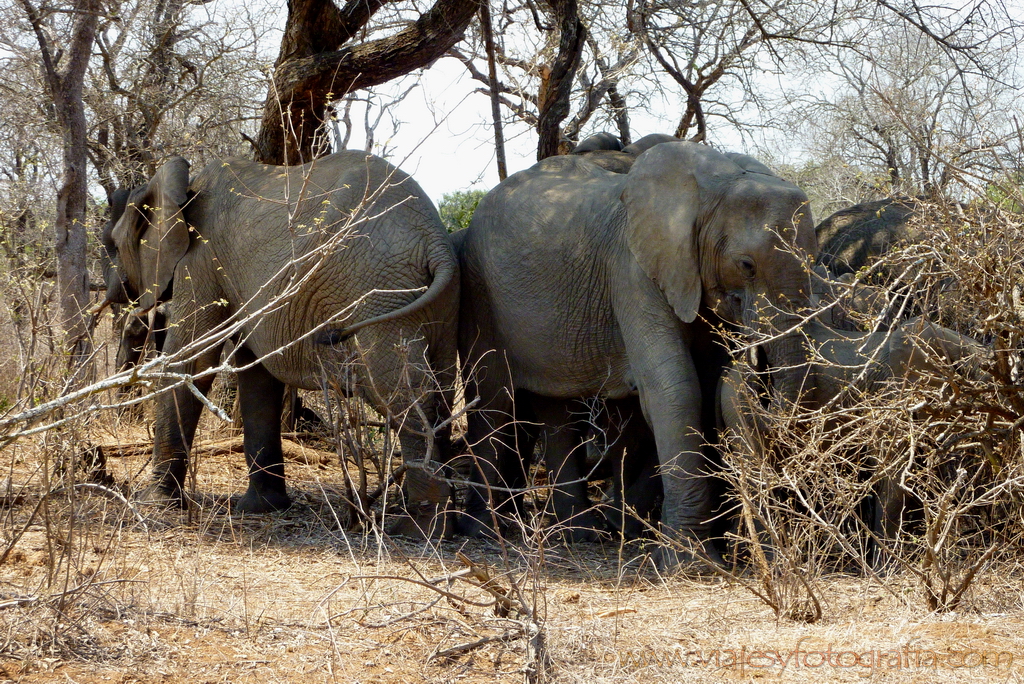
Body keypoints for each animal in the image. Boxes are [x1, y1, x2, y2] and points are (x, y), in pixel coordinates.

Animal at [99, 152, 460, 520]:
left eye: (111, 243)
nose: (110, 290)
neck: (179, 186)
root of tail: (436, 243)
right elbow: (257, 374)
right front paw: (261, 508)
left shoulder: (201, 259)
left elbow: (191, 361)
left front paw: (153, 505)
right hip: (438, 305)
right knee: (441, 388)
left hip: (378, 291)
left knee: (401, 393)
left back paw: (417, 521)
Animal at [456, 140, 815, 573]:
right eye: (746, 265)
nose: (753, 360)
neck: (710, 187)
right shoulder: (633, 270)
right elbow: (676, 388)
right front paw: (691, 565)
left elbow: (708, 384)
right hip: (479, 291)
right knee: (493, 400)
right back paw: (485, 532)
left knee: (556, 409)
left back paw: (581, 534)